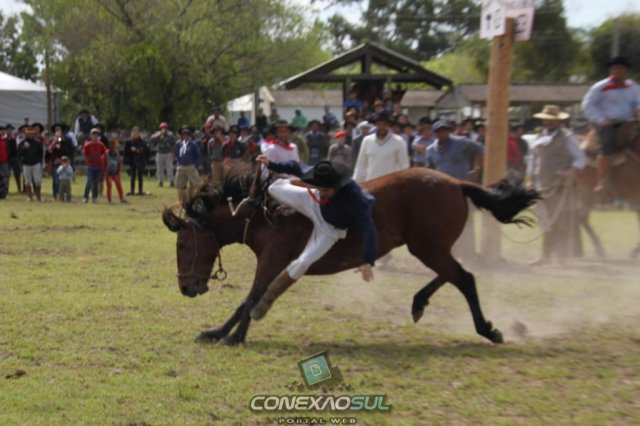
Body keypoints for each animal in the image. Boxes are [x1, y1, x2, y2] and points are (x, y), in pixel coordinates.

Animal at [162, 164, 540, 346]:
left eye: (182, 245)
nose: (185, 287)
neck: (261, 213)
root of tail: (456, 183)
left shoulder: (273, 258)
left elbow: (251, 297)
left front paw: (231, 335)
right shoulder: (275, 260)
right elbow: (252, 298)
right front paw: (218, 332)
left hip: (428, 248)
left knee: (464, 278)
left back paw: (488, 330)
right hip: (430, 248)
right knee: (454, 276)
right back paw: (419, 304)